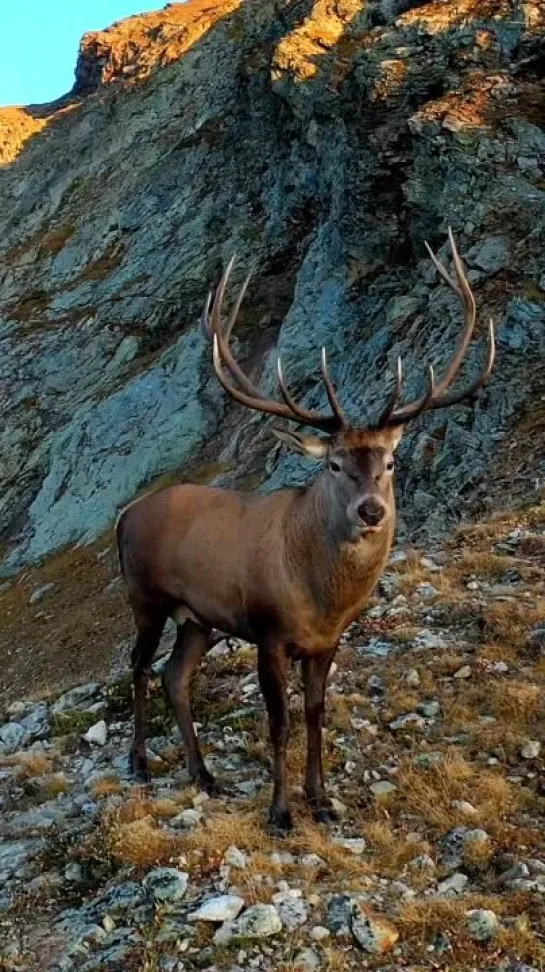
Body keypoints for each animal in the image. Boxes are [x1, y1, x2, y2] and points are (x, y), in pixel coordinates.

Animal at [117, 230, 496, 836]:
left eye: (390, 462)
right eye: (335, 464)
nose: (371, 511)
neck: (321, 598)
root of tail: (127, 513)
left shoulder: (328, 641)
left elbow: (317, 715)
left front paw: (321, 799)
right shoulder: (269, 631)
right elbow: (280, 723)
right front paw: (280, 812)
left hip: (199, 617)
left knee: (177, 676)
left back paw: (204, 774)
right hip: (145, 596)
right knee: (139, 667)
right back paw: (140, 762)